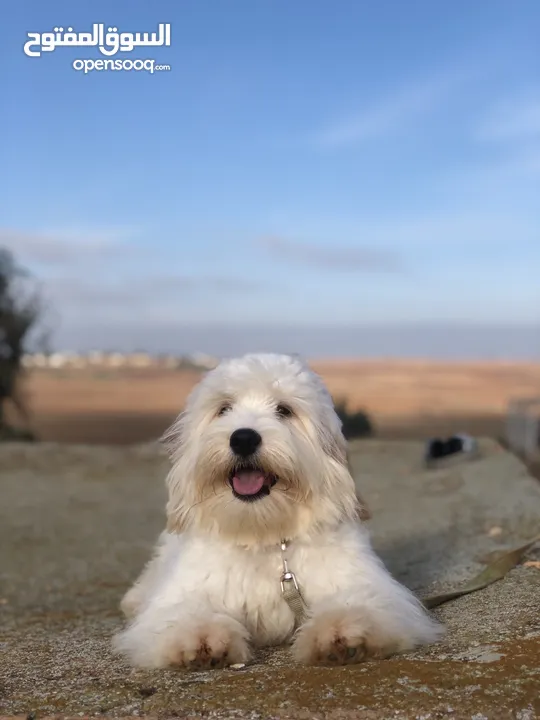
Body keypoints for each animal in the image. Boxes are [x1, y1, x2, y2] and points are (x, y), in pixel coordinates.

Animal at [113, 354, 438, 668]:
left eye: (284, 410)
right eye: (224, 408)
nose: (243, 438)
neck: (263, 533)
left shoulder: (365, 586)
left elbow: (360, 603)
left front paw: (340, 630)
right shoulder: (188, 591)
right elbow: (183, 613)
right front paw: (202, 638)